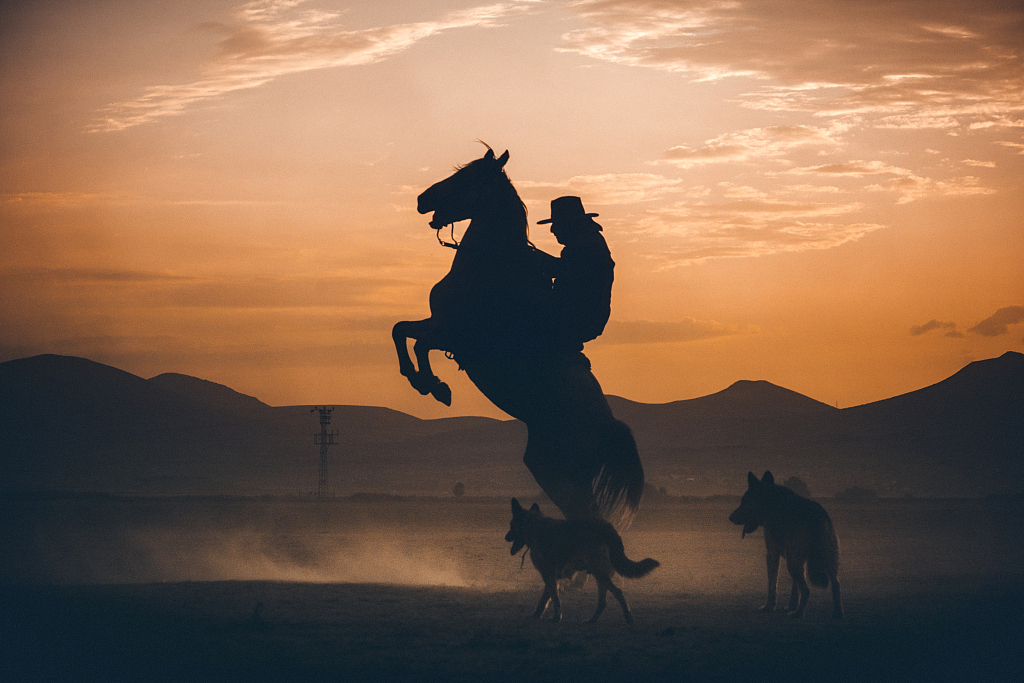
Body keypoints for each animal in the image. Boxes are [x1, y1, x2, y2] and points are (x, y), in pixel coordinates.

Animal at [389, 148, 638, 524]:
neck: (490, 267)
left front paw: (433, 386)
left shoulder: (456, 336)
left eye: (467, 177)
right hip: (548, 468)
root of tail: (609, 426)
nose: (422, 199)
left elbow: (418, 343)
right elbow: (400, 330)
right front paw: (424, 381)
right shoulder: (438, 323)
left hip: (561, 473)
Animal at [501, 497, 655, 626]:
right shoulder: (553, 577)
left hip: (599, 573)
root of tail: (607, 527)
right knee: (603, 602)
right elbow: (545, 598)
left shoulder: (548, 574)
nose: (506, 537)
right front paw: (537, 615)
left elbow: (555, 599)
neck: (534, 526)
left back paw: (628, 617)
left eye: (511, 525)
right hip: (600, 574)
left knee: (618, 592)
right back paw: (592, 620)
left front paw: (556, 618)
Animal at [733, 471, 843, 618]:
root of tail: (815, 516)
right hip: (829, 561)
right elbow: (794, 587)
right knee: (836, 585)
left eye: (744, 502)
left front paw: (769, 607)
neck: (772, 504)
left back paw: (799, 614)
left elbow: (772, 585)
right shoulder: (797, 559)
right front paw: (792, 605)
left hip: (793, 564)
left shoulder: (772, 554)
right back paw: (838, 613)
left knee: (807, 590)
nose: (730, 517)